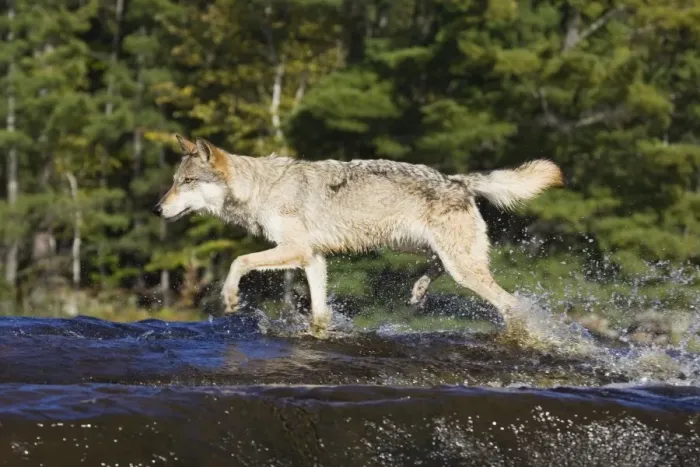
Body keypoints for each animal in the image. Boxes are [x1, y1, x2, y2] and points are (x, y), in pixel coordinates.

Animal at [153, 135, 564, 335]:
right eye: (173, 182)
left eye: (186, 182)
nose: (157, 209)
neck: (261, 188)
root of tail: (458, 180)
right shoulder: (313, 259)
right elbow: (320, 313)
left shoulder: (295, 249)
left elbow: (239, 260)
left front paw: (230, 297)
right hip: (424, 250)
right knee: (438, 268)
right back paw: (418, 290)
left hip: (462, 269)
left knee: (510, 304)